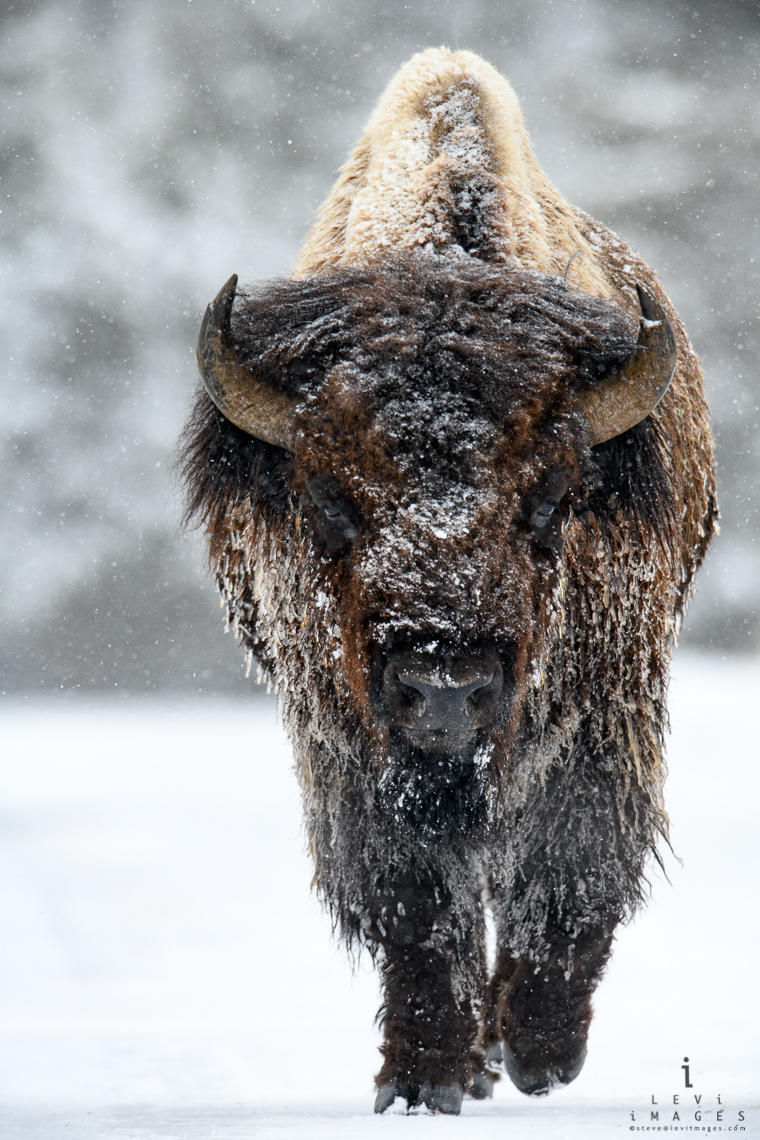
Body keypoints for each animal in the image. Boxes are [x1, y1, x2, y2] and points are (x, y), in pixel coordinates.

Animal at [181, 49, 715, 1108]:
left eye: (549, 499)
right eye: (329, 498)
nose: (443, 689)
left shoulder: (603, 713)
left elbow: (570, 875)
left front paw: (542, 1055)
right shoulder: (346, 743)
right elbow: (416, 905)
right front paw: (425, 1075)